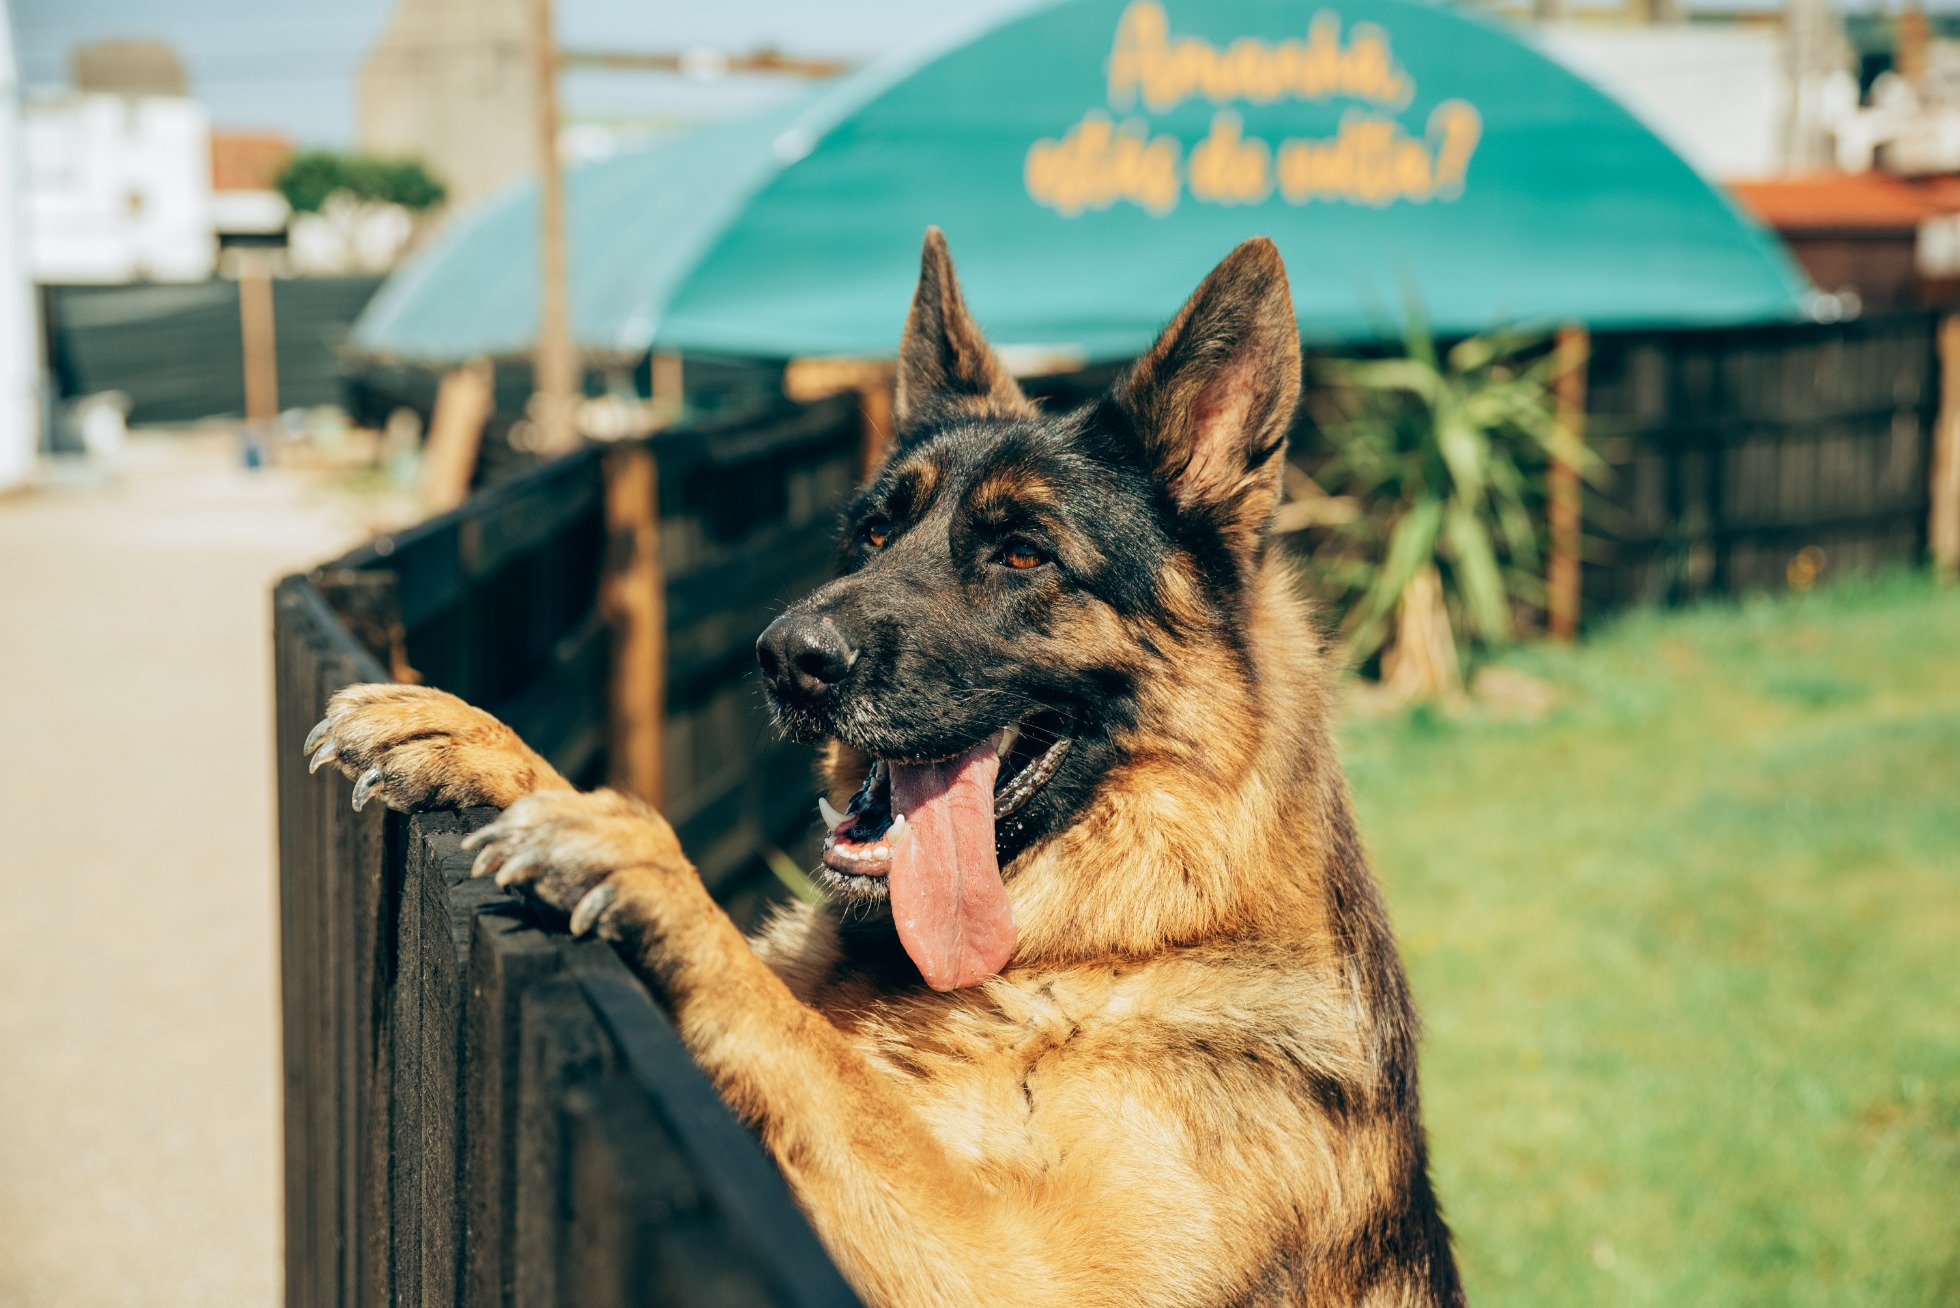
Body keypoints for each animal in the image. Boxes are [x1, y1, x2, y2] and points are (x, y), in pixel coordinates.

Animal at [313, 230, 1466, 1302]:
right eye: (871, 534)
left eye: (1022, 553)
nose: (785, 658)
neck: (1109, 944)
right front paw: (474, 741)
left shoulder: (1022, 1269)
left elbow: (821, 1066)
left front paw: (652, 870)